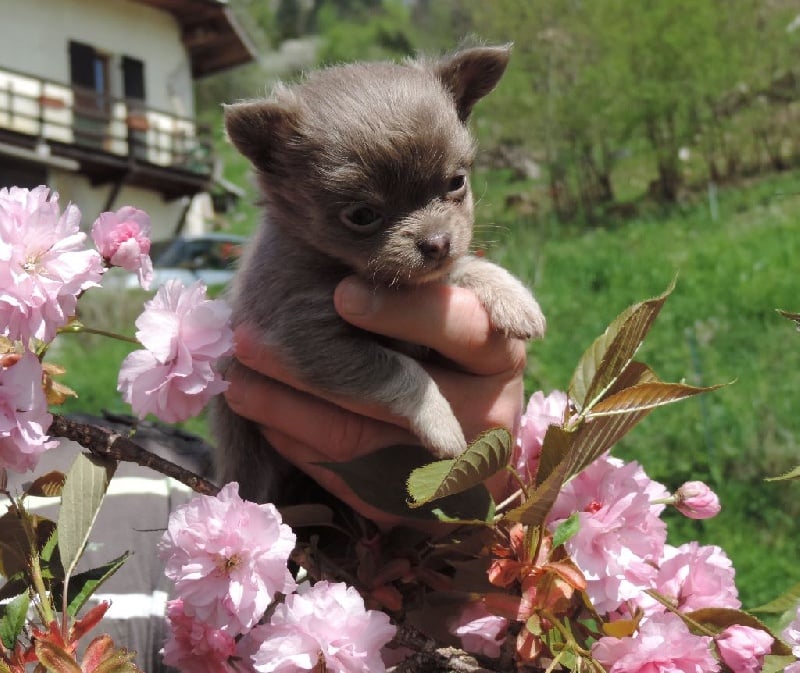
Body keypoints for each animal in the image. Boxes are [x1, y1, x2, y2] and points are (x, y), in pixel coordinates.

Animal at [212, 44, 548, 502]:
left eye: (456, 182)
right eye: (361, 215)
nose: (437, 243)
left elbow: (464, 267)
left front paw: (512, 296)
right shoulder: (308, 338)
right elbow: (403, 371)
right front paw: (440, 420)